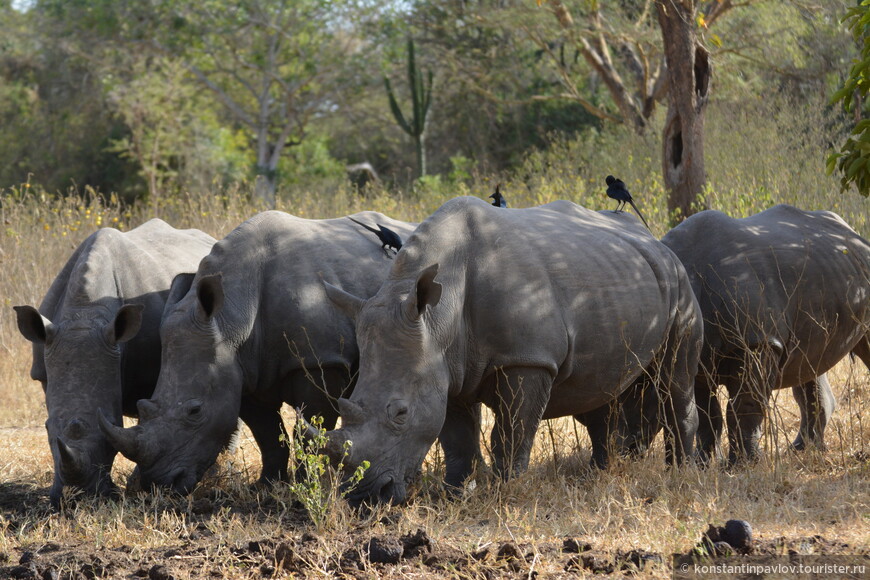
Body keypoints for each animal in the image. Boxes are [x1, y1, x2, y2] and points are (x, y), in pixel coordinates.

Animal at [99, 211, 418, 492]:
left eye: (195, 411)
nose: (158, 484)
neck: (231, 318)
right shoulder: (243, 370)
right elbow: (268, 435)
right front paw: (266, 487)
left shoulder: (320, 361)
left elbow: (308, 433)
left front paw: (305, 486)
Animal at [324, 196, 704, 502]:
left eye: (401, 413)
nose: (365, 497)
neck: (437, 317)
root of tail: (655, 240)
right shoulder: (446, 365)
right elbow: (457, 439)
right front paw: (454, 493)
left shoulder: (527, 359)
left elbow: (512, 432)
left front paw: (506, 489)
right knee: (603, 390)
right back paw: (600, 473)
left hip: (680, 284)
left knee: (674, 379)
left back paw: (680, 473)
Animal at [660, 206, 870, 464]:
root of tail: (853, 233)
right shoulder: (694, 353)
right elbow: (706, 413)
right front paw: (704, 463)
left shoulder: (757, 342)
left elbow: (743, 407)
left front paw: (743, 464)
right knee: (809, 362)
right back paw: (803, 449)